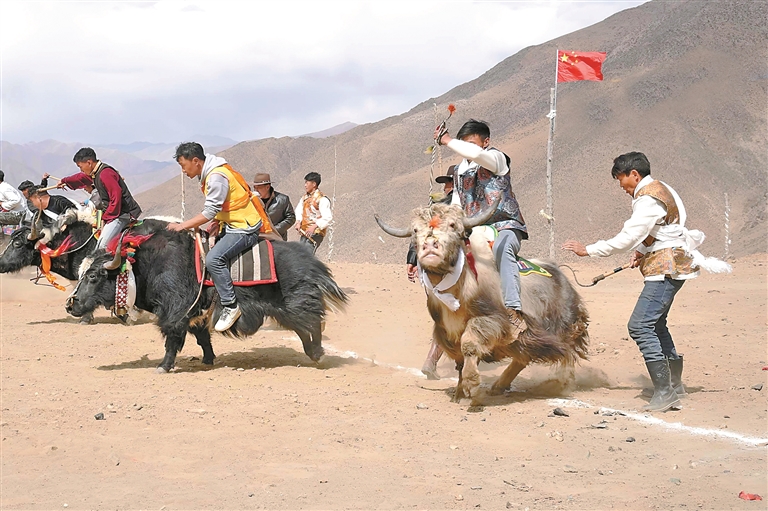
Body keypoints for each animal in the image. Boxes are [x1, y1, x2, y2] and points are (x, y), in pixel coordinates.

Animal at [65, 219, 348, 373]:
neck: (145, 264)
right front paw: (208, 359)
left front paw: (163, 366)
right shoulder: (196, 313)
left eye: (93, 276)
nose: (71, 305)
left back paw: (318, 354)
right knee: (306, 327)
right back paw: (314, 353)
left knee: (312, 324)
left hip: (295, 304)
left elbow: (172, 338)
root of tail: (313, 263)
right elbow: (202, 337)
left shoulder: (175, 310)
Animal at [375, 203, 589, 402]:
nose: (429, 246)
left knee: (566, 353)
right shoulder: (445, 331)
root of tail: (561, 275)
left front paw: (471, 384)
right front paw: (460, 391)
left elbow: (469, 345)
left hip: (561, 325)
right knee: (523, 357)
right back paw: (499, 386)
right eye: (415, 230)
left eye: (453, 225)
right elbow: (459, 359)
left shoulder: (491, 320)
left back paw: (562, 384)